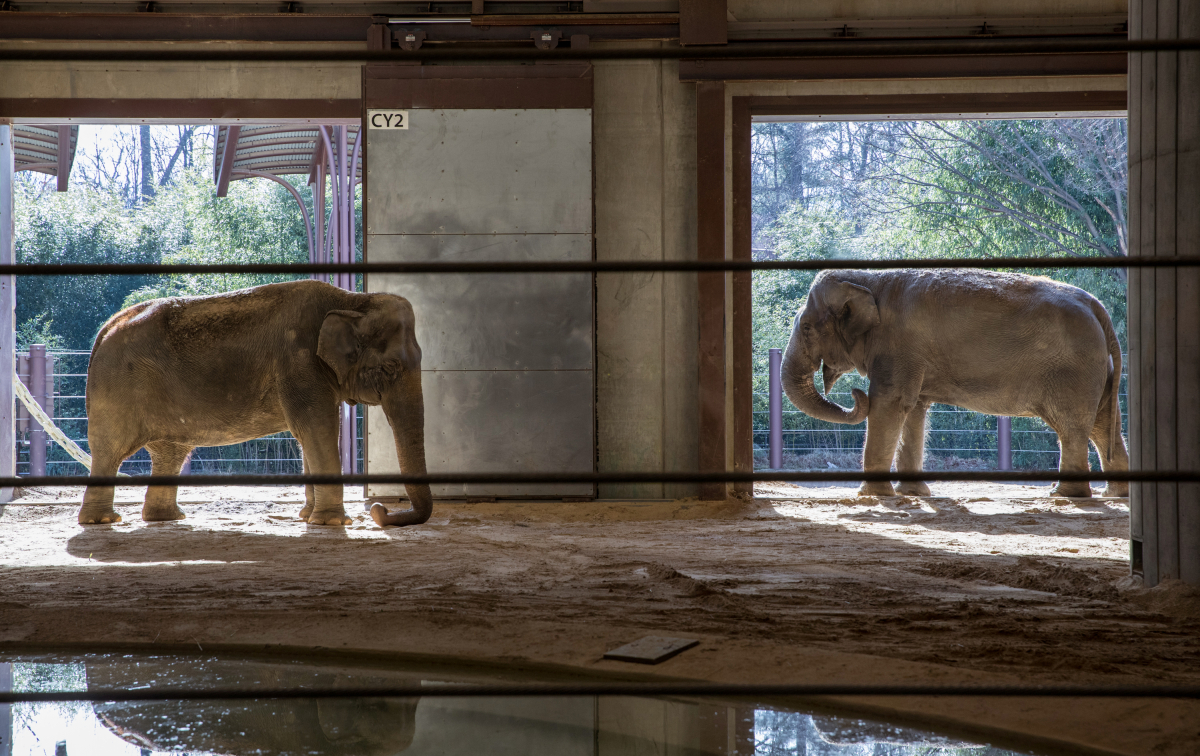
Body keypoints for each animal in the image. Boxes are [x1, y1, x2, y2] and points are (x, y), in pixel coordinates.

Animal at [78, 279, 432, 527]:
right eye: (390, 368)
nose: (380, 511)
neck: (352, 300)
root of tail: (105, 328)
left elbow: (311, 434)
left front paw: (307, 516)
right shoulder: (298, 363)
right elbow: (317, 428)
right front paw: (332, 522)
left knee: (169, 453)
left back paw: (166, 518)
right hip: (117, 390)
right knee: (110, 451)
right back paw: (102, 521)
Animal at [781, 269, 1128, 498]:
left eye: (807, 328)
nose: (854, 394)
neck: (868, 278)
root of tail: (1099, 310)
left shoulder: (898, 346)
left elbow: (889, 403)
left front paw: (873, 496)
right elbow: (914, 409)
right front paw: (914, 494)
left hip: (1074, 371)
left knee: (1072, 427)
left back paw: (1065, 495)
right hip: (1098, 372)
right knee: (1101, 426)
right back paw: (1114, 494)